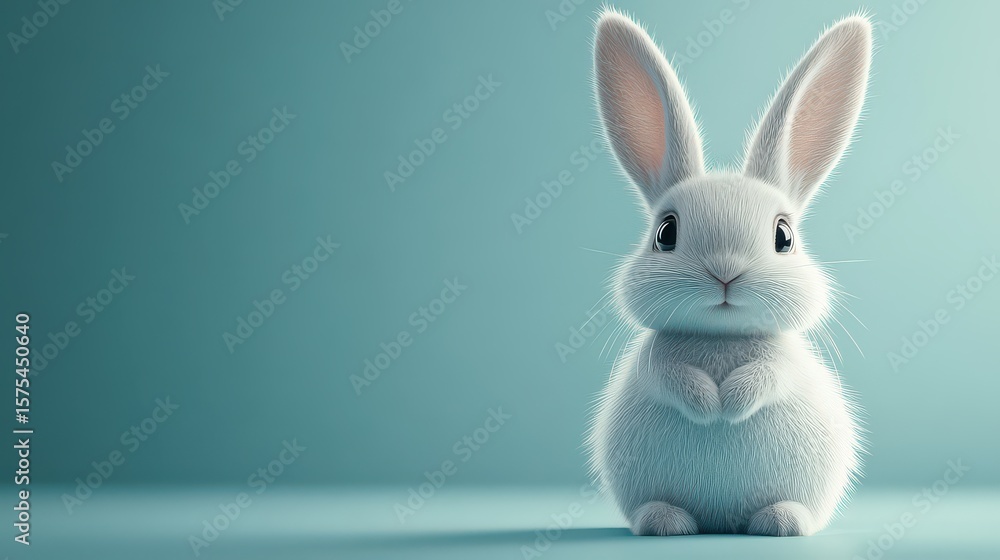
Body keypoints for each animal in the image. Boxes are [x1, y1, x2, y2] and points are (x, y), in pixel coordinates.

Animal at [586, 8, 871, 537]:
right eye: (666, 233)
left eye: (784, 236)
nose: (725, 272)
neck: (721, 336)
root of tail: (721, 520)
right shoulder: (658, 358)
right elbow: (673, 375)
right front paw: (707, 405)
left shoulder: (782, 360)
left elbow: (769, 374)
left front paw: (730, 404)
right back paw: (666, 522)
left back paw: (780, 522)